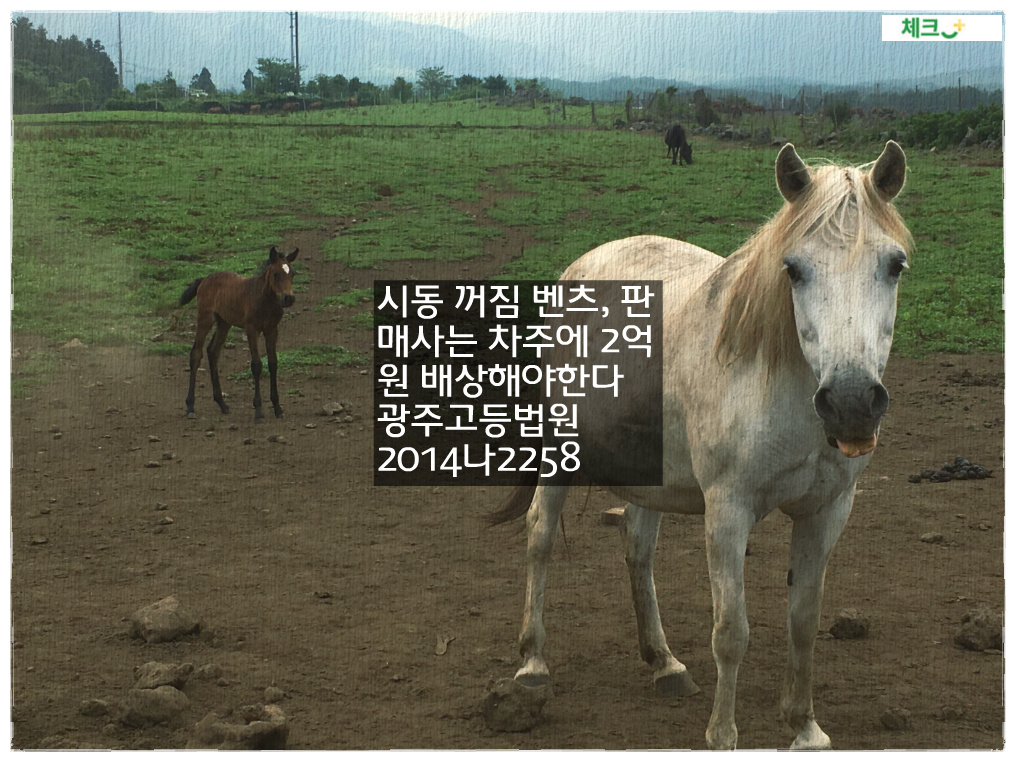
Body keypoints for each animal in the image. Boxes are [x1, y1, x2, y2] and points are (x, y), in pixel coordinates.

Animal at [180, 245, 296, 420]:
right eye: (276, 274)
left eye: (292, 274)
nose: (288, 298)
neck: (264, 300)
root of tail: (204, 279)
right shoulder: (251, 329)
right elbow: (256, 364)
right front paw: (258, 410)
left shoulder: (272, 330)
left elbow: (273, 363)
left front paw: (277, 408)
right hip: (206, 318)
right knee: (196, 353)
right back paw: (190, 406)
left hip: (224, 322)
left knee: (213, 351)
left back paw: (222, 404)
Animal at [491, 142, 914, 751]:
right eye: (793, 268)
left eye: (894, 265)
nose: (852, 402)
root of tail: (582, 265)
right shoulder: (728, 510)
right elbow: (731, 631)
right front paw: (723, 735)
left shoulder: (828, 510)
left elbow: (804, 620)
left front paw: (804, 727)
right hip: (558, 453)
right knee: (540, 536)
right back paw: (532, 665)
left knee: (637, 549)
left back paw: (663, 662)